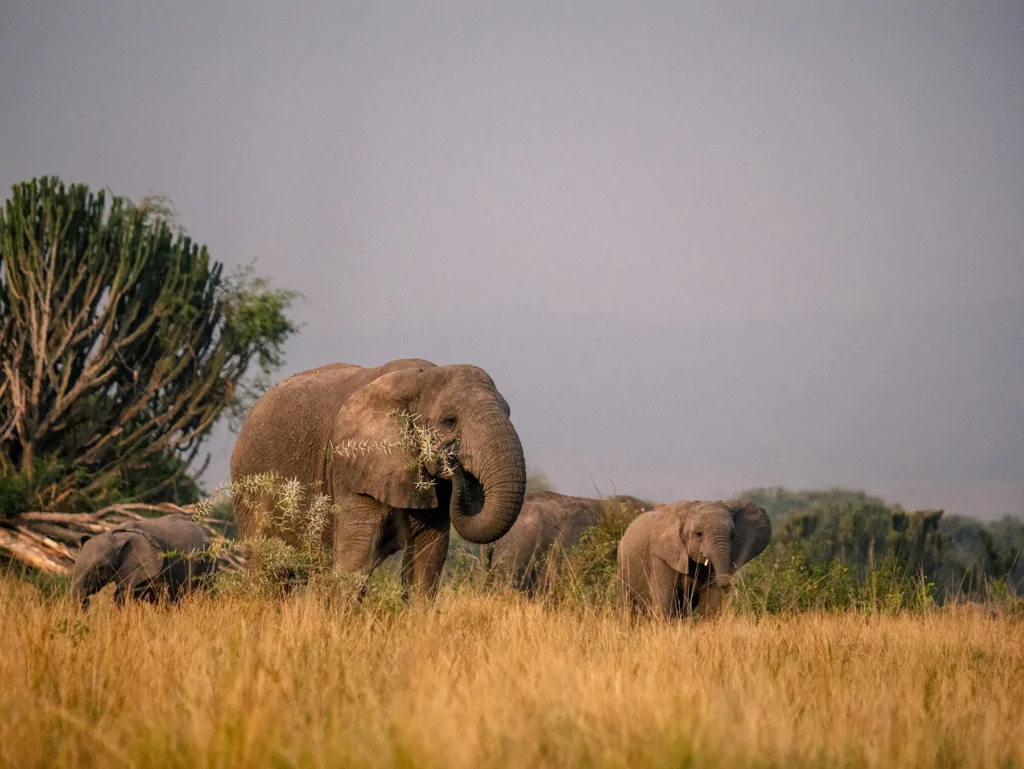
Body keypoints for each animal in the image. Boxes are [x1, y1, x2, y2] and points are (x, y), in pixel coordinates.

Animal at [230, 359, 527, 597]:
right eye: (450, 420)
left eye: (510, 412)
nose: (455, 466)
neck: (420, 378)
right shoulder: (352, 468)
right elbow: (355, 558)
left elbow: (428, 560)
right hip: (249, 487)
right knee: (267, 573)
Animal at [616, 499, 771, 618]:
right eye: (699, 534)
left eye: (732, 535)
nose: (732, 585)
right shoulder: (660, 556)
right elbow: (664, 602)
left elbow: (711, 604)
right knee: (628, 606)